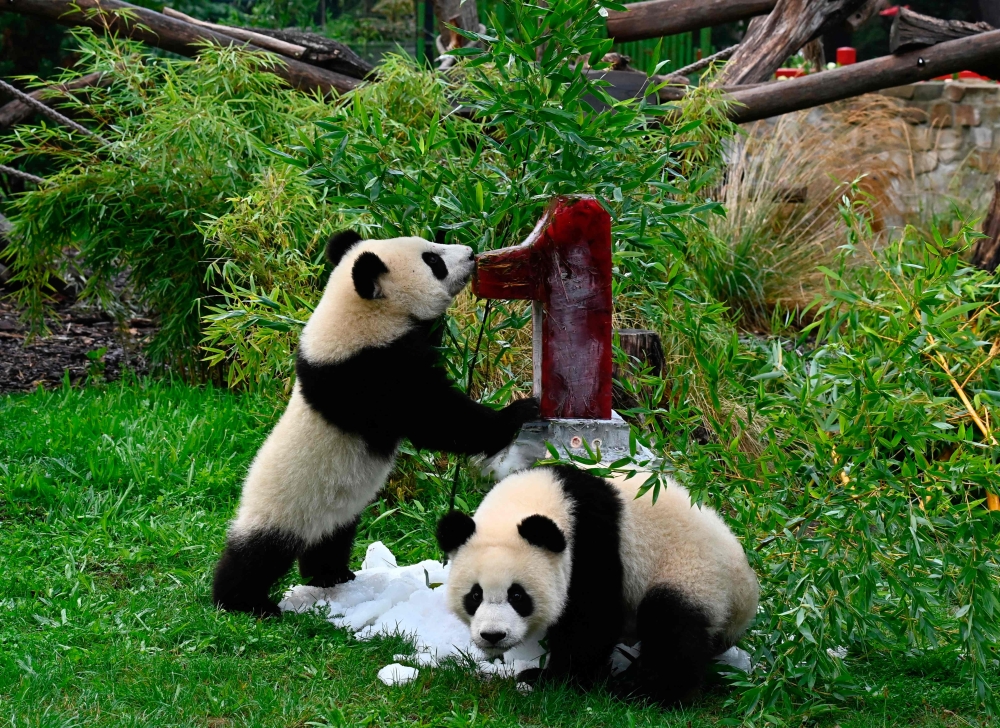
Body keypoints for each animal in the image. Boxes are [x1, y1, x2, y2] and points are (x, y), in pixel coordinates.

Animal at [213, 231, 539, 617]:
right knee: (257, 555)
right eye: (433, 261)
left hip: (333, 511)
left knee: (330, 540)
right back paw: (243, 602)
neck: (357, 314)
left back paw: (331, 575)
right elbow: (435, 416)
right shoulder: (365, 373)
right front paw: (519, 411)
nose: (472, 254)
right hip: (285, 505)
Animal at [436, 464, 758, 704]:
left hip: (692, 573)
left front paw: (549, 680)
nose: (493, 635)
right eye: (474, 596)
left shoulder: (592, 541)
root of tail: (746, 592)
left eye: (517, 595)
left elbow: (592, 620)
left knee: (672, 628)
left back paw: (642, 691)